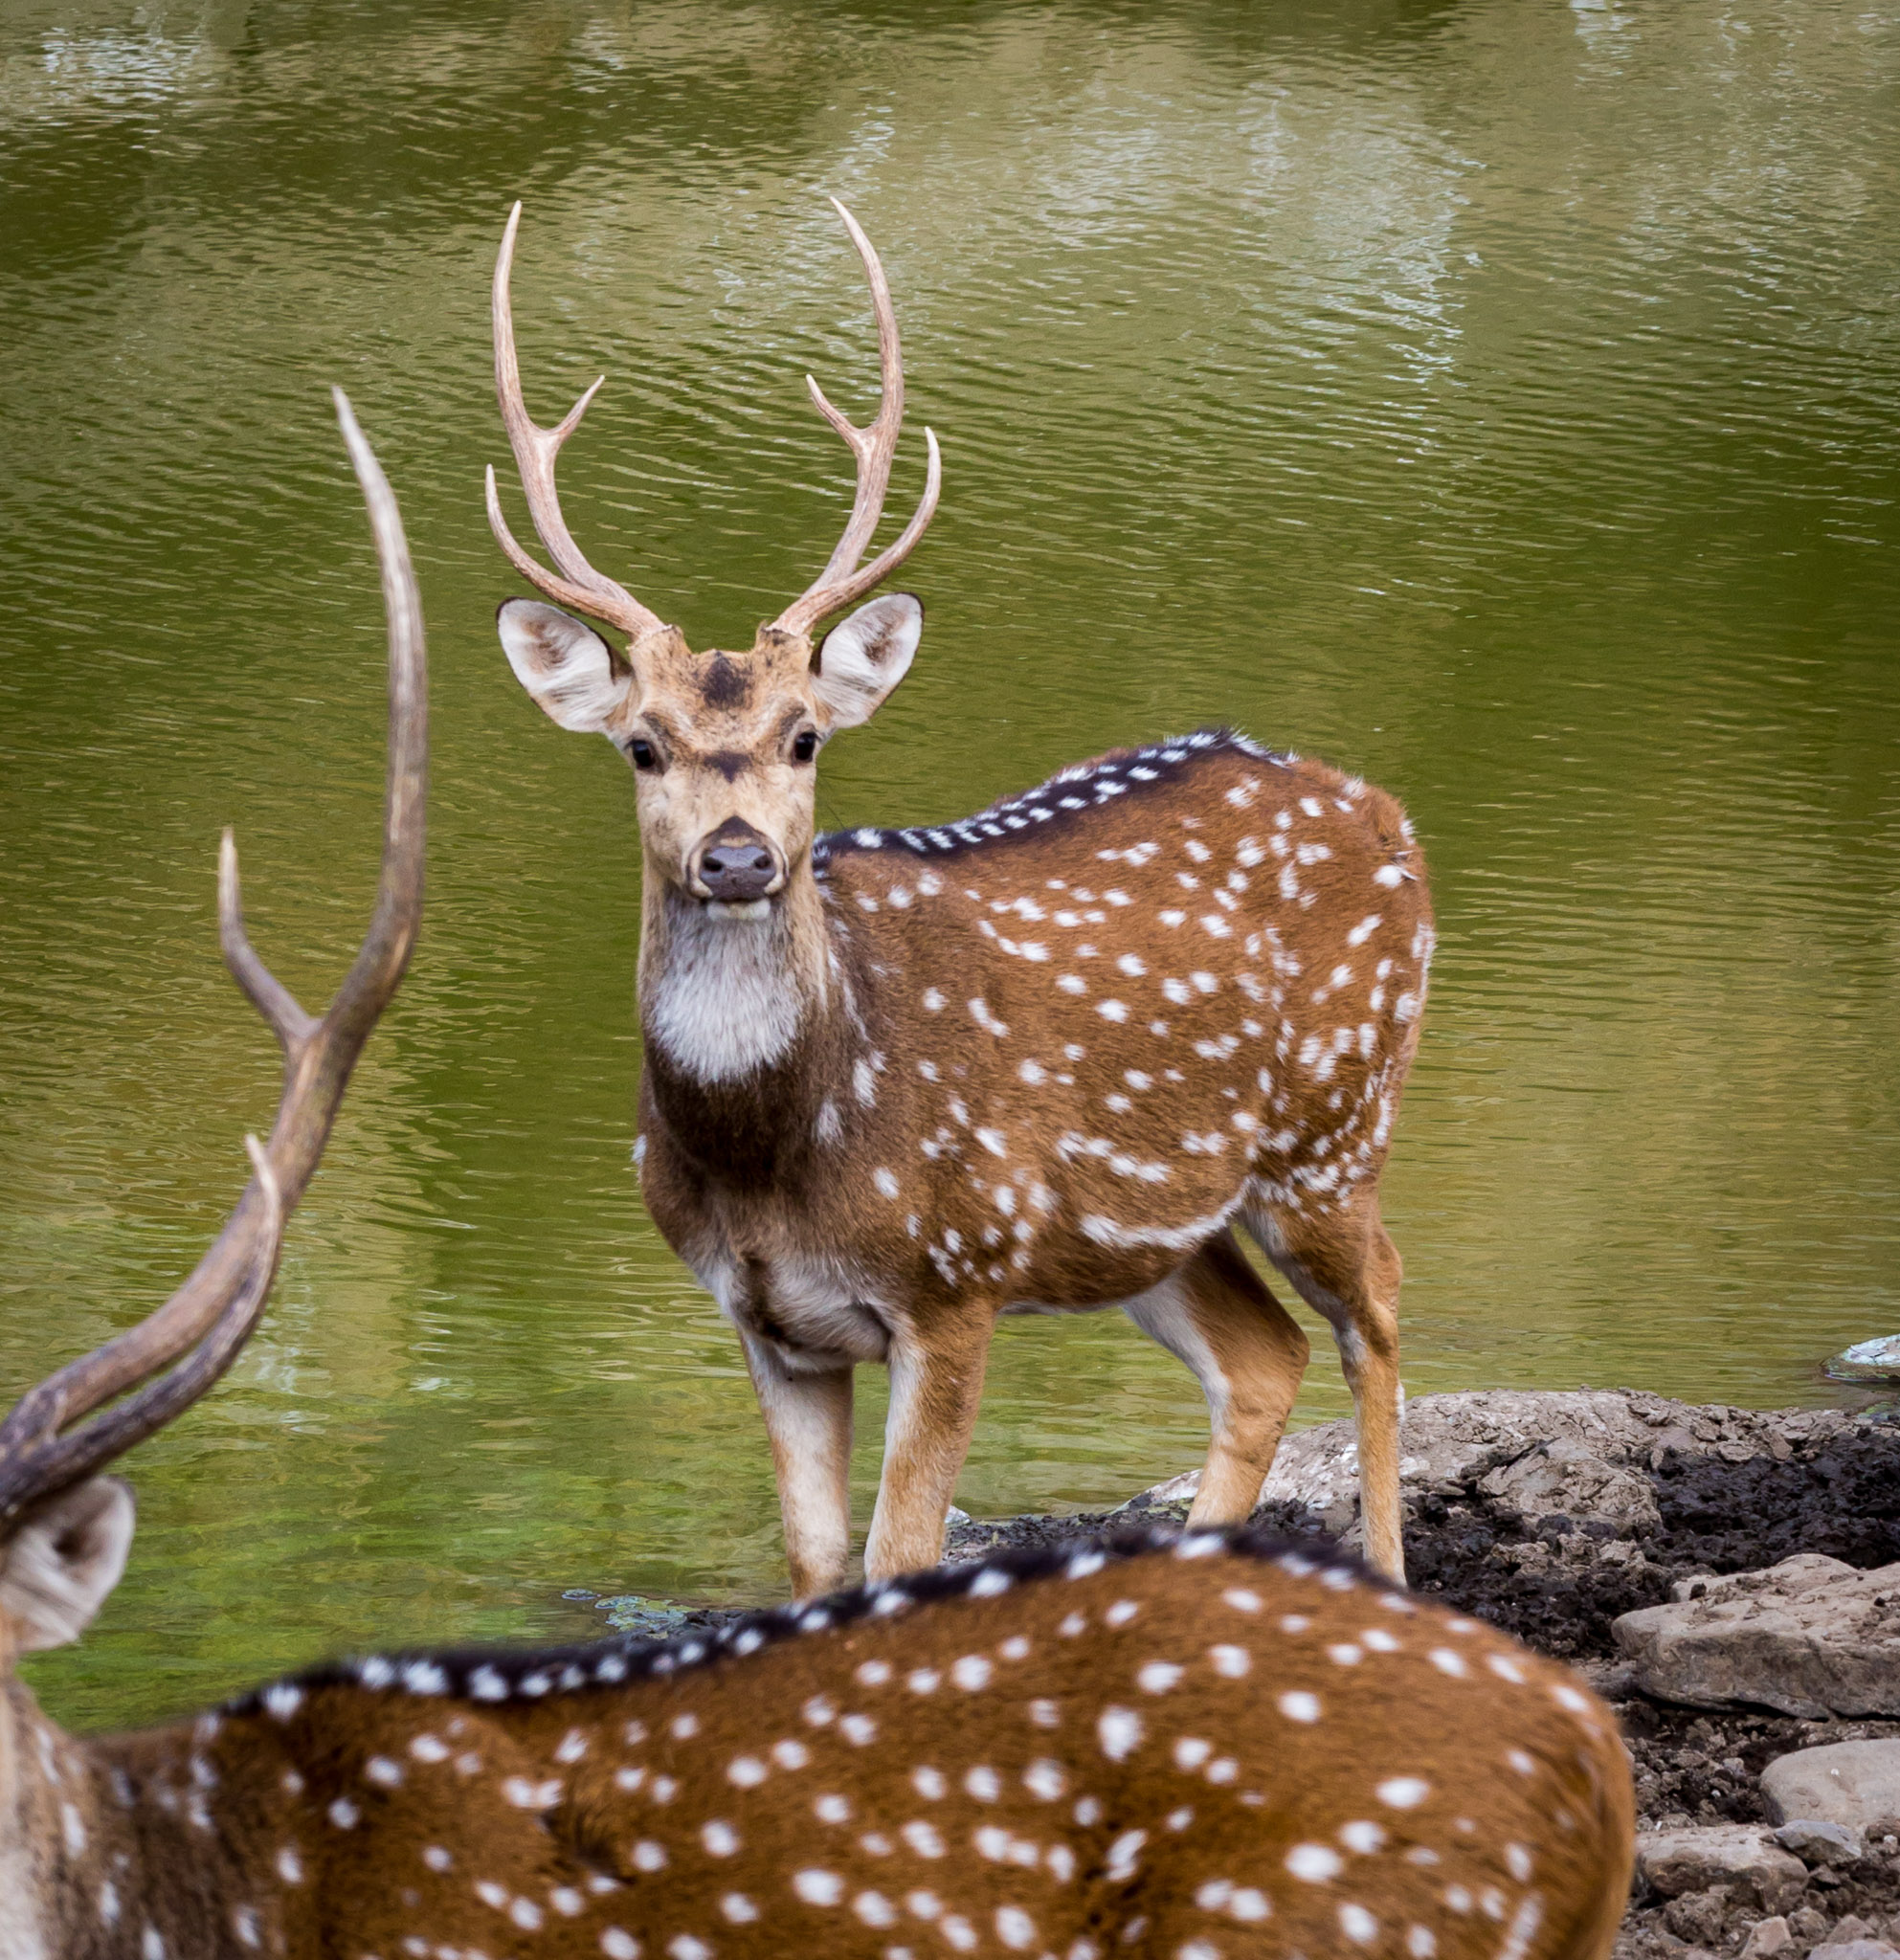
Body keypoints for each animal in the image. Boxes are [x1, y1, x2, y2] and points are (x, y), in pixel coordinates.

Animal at [490, 207, 1435, 1599]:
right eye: (641, 745)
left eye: (806, 735)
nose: (735, 858)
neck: (778, 1151)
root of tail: (1384, 810)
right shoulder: (763, 1318)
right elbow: (815, 1558)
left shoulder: (953, 1281)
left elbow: (903, 1551)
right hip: (1160, 1219)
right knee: (1264, 1360)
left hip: (1334, 1124)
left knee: (1375, 1304)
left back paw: (1388, 1578)